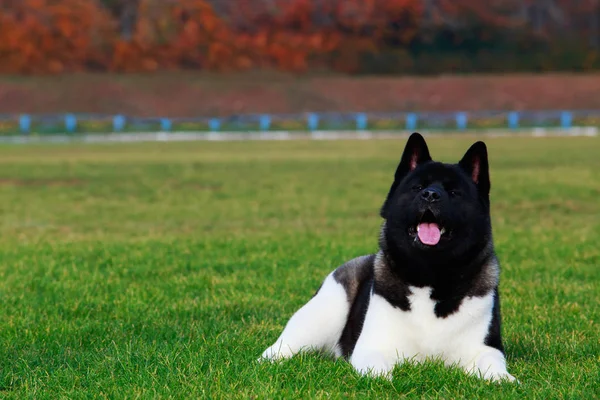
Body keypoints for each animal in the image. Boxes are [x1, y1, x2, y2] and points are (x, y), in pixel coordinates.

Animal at [258, 133, 516, 382]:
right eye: (417, 187)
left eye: (454, 192)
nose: (431, 195)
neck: (430, 275)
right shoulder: (372, 347)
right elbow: (377, 368)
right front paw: (383, 377)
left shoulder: (485, 348)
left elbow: (491, 364)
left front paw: (502, 378)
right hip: (321, 314)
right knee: (279, 349)